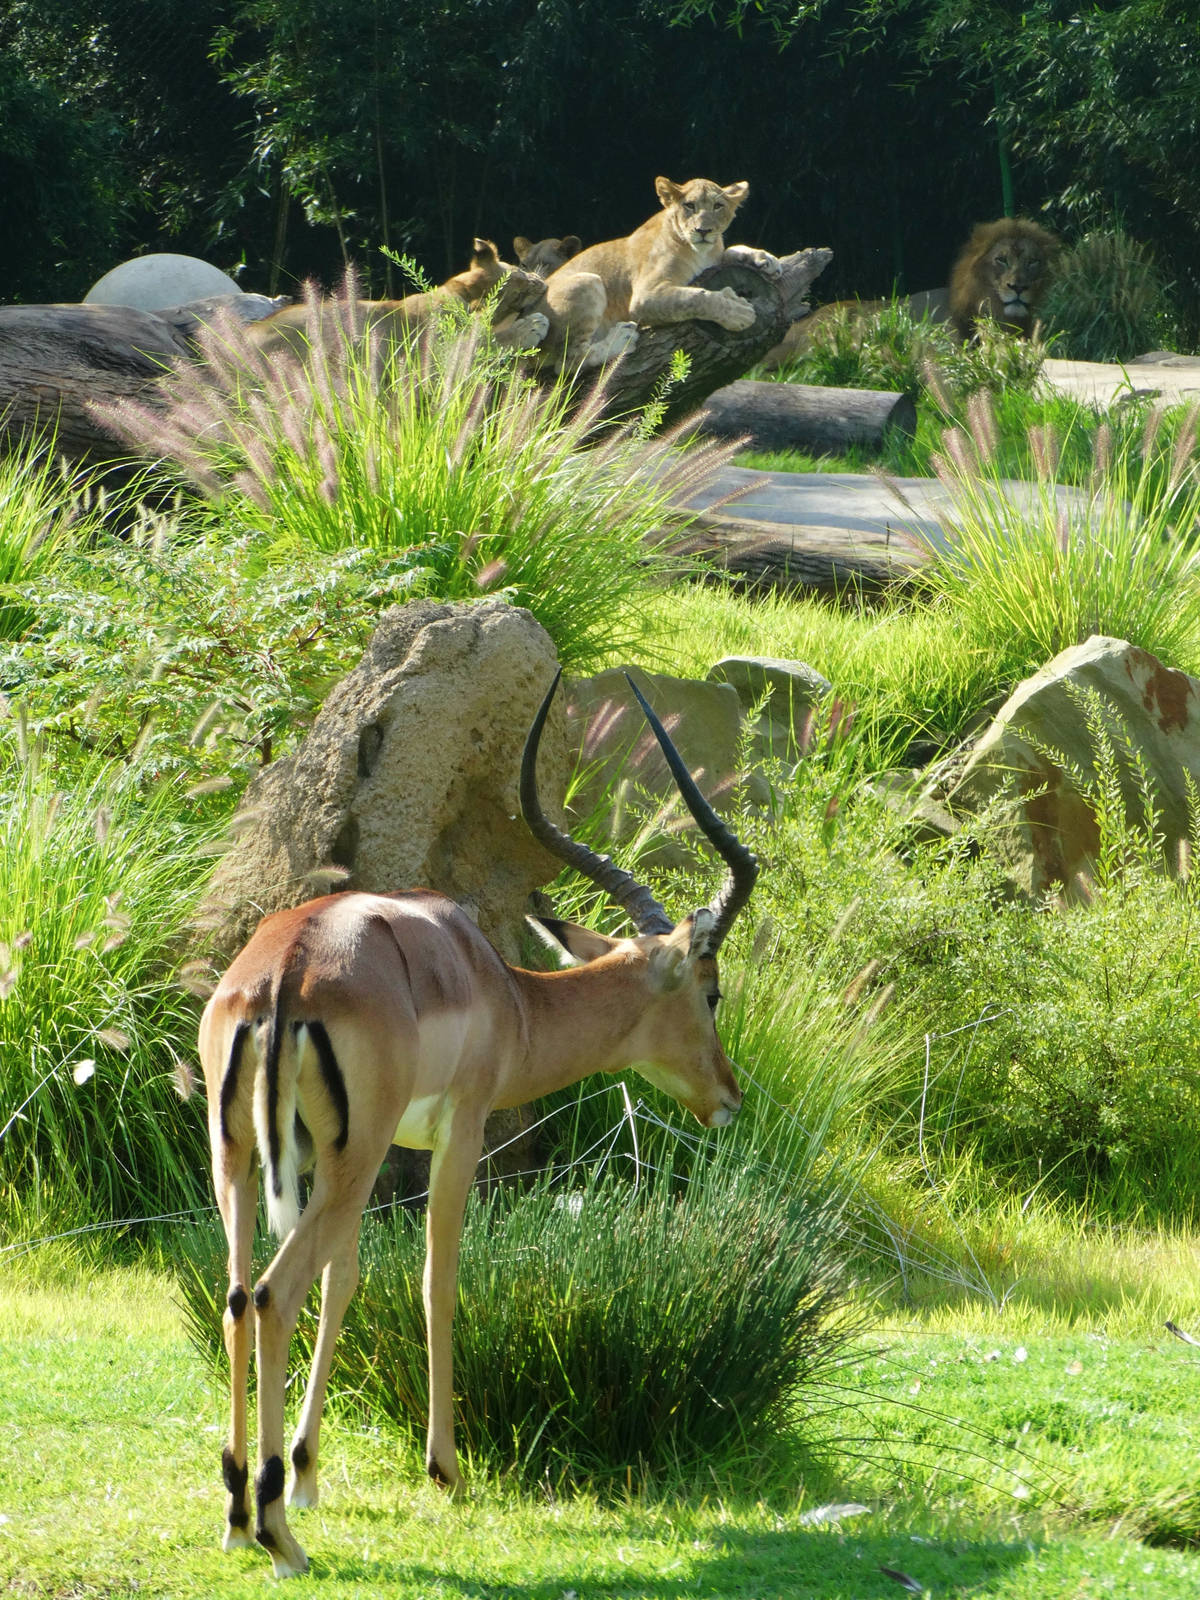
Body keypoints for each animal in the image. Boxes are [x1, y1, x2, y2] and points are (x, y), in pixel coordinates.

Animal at [198, 670, 758, 1577]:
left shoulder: (362, 1156)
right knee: (276, 1295)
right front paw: (445, 1469)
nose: (729, 1095)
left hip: (249, 1158)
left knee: (239, 1295)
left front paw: (311, 1474)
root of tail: (283, 976)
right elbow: (438, 1279)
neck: (504, 994)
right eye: (710, 992)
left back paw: (240, 1510)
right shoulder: (456, 1137)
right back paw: (279, 1536)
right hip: (342, 1160)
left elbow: (346, 1280)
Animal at [248, 240, 548, 357]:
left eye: (520, 268)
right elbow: (492, 341)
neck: (457, 294)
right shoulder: (440, 353)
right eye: (522, 280)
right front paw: (533, 325)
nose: (542, 282)